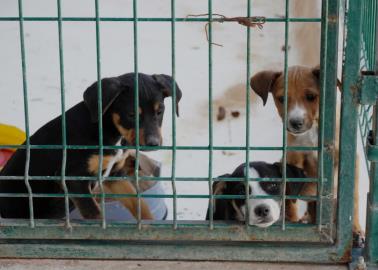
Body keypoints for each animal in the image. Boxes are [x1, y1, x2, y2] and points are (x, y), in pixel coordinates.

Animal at [0, 72, 183, 219]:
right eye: (131, 114)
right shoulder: (73, 179)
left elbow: (138, 204)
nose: (153, 143)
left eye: (160, 111)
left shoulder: (115, 174)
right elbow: (95, 215)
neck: (109, 130)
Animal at [250, 66, 362, 235]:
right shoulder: (293, 158)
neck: (312, 133)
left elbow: (352, 198)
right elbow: (290, 194)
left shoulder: (349, 161)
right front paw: (291, 220)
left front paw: (354, 228)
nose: (295, 123)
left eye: (311, 97)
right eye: (282, 99)